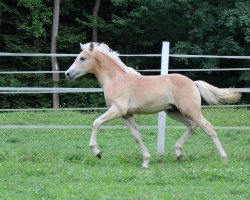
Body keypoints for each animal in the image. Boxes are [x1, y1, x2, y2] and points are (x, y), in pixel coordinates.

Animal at [65, 42, 241, 169]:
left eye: (82, 58)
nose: (68, 74)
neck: (116, 80)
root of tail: (193, 82)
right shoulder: (126, 115)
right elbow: (136, 136)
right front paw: (145, 162)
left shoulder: (117, 110)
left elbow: (96, 123)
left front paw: (97, 152)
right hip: (174, 112)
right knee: (192, 126)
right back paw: (178, 153)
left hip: (190, 110)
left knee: (208, 128)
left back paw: (224, 158)